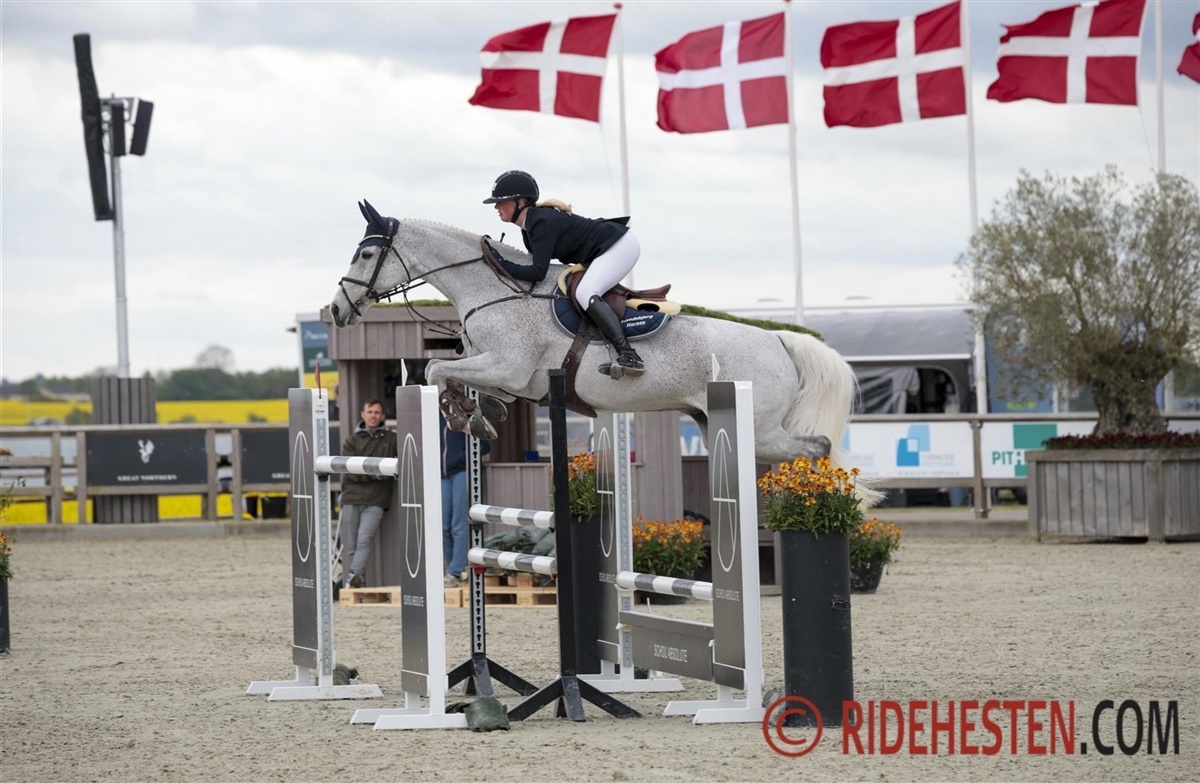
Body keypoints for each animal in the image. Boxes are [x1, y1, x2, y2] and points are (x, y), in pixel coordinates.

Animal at [330, 201, 873, 498]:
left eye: (367, 252)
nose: (336, 310)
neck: (493, 289)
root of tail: (778, 338)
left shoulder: (507, 366)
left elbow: (436, 368)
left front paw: (469, 417)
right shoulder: (506, 373)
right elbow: (448, 372)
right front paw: (483, 414)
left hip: (761, 428)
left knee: (817, 448)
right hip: (725, 424)